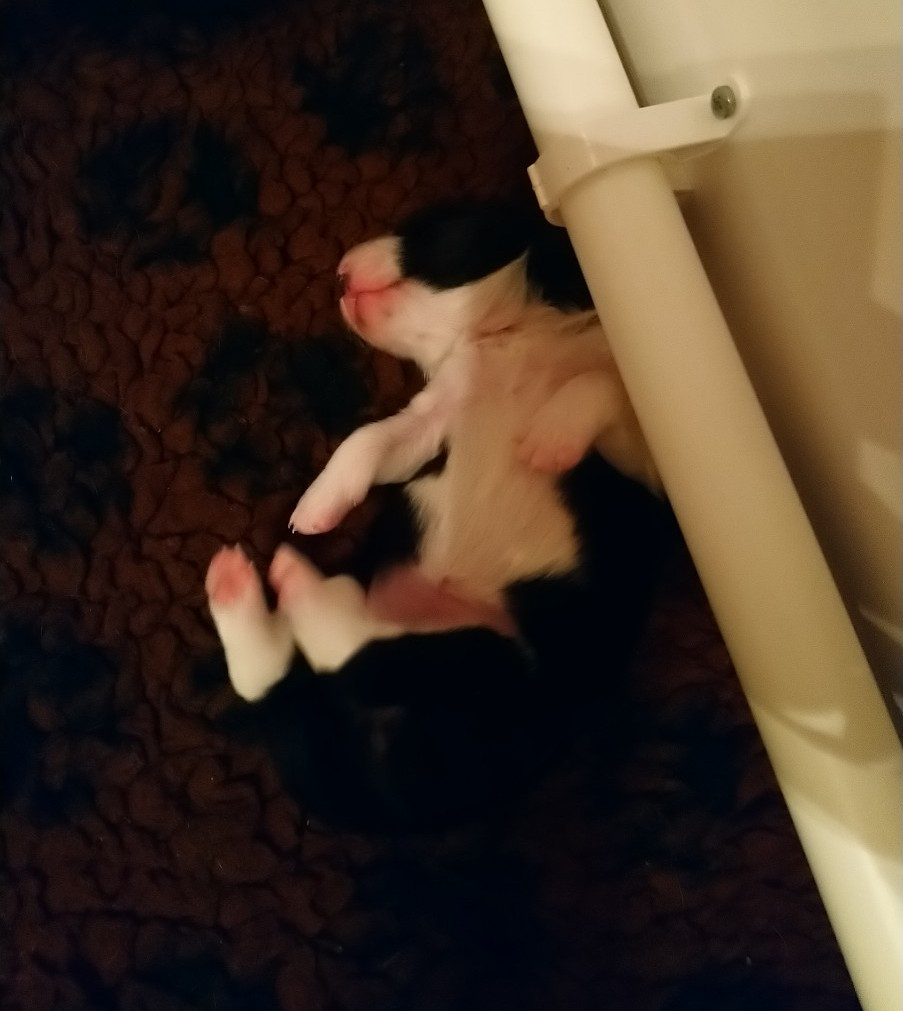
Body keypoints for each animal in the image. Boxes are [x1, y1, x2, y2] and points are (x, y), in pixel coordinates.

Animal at [205, 200, 675, 832]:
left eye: (426, 227)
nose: (338, 275)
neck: (518, 333)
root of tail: (377, 802)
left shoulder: (646, 449)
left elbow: (600, 382)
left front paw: (549, 438)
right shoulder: (431, 418)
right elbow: (368, 440)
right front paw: (317, 504)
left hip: (492, 673)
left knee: (345, 658)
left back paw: (289, 584)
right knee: (297, 672)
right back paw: (252, 583)